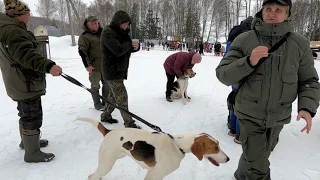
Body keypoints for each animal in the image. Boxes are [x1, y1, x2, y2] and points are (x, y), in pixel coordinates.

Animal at [76, 117, 229, 179]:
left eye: (219, 145)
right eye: (215, 148)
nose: (228, 159)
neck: (177, 145)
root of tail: (108, 131)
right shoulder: (154, 175)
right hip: (106, 163)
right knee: (91, 176)